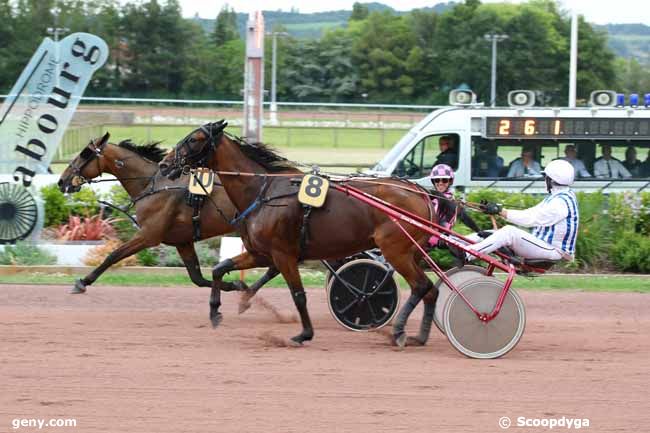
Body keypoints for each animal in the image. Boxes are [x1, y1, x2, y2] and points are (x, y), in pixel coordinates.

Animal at [57, 132, 278, 318]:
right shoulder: (183, 242)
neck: (153, 185)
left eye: (84, 154)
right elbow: (197, 278)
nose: (61, 181)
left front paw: (82, 282)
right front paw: (236, 284)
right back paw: (248, 294)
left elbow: (113, 255)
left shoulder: (148, 236)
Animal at [159, 122, 438, 348]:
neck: (263, 191)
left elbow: (298, 295)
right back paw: (420, 336)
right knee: (431, 290)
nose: (164, 164)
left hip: (395, 250)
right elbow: (220, 268)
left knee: (421, 285)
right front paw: (217, 311)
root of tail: (420, 193)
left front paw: (304, 334)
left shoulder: (283, 255)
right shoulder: (261, 253)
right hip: (410, 253)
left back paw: (399, 331)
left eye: (194, 138)